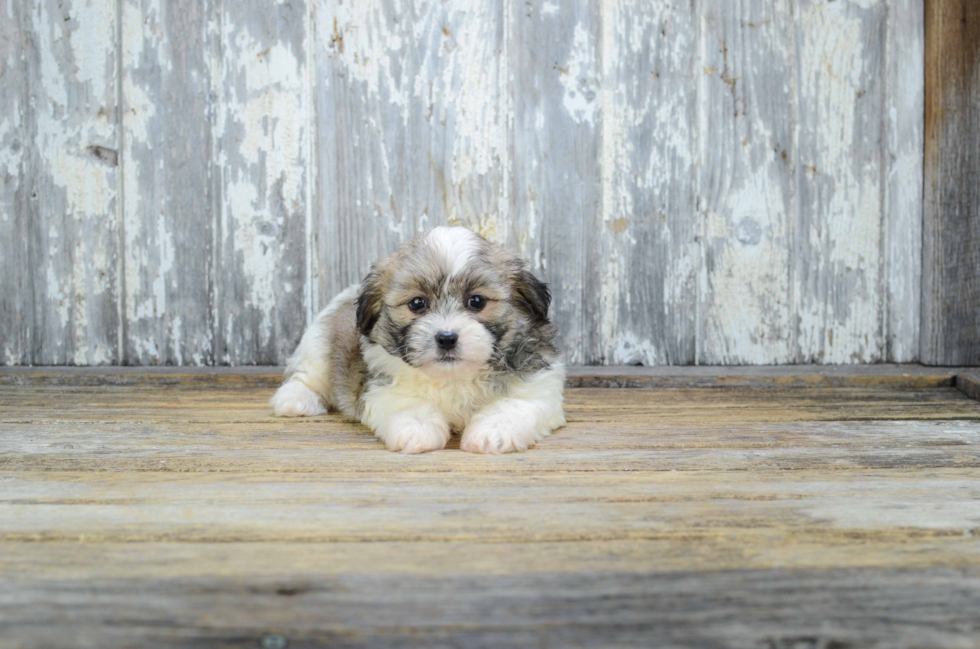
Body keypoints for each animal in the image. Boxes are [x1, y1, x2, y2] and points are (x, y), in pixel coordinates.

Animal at [272, 225, 572, 454]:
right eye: (417, 304)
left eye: (476, 301)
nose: (447, 338)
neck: (455, 377)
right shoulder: (383, 388)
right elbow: (409, 404)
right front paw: (417, 429)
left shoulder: (538, 386)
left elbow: (513, 405)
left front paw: (493, 432)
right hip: (318, 343)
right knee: (308, 375)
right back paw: (295, 400)